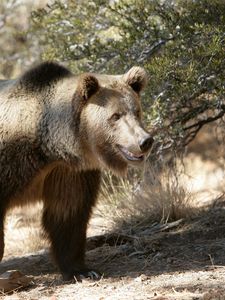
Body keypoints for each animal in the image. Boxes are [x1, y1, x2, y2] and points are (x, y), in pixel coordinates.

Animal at [0, 62, 154, 280]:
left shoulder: (69, 172)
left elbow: (68, 213)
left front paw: (81, 271)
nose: (145, 141)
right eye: (116, 115)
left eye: (137, 111)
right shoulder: (12, 163)